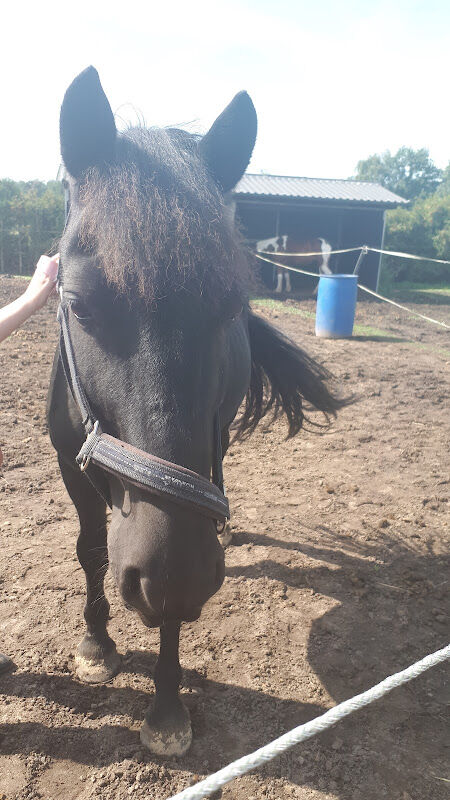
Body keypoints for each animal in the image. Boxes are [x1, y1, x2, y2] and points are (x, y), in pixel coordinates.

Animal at [47, 67, 342, 756]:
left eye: (231, 307)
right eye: (77, 303)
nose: (173, 575)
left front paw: (165, 707)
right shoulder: (71, 464)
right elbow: (91, 548)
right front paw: (97, 645)